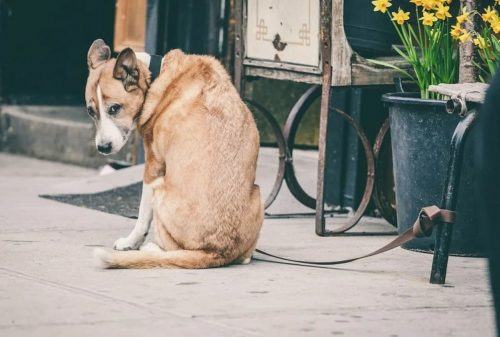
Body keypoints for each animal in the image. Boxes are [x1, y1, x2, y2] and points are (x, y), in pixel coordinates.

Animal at [85, 39, 266, 268]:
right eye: (90, 111)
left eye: (114, 108)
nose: (103, 148)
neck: (155, 76)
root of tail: (216, 251)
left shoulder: (152, 168)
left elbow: (142, 217)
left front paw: (130, 243)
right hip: (258, 194)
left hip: (160, 188)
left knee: (172, 248)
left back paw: (152, 249)